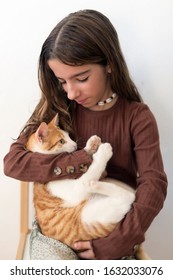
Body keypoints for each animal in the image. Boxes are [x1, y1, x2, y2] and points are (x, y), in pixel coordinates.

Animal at [26, 114, 148, 260]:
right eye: (61, 141)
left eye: (68, 136)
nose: (74, 144)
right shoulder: (74, 191)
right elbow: (91, 171)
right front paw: (100, 152)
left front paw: (91, 145)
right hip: (94, 216)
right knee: (128, 196)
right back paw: (95, 181)